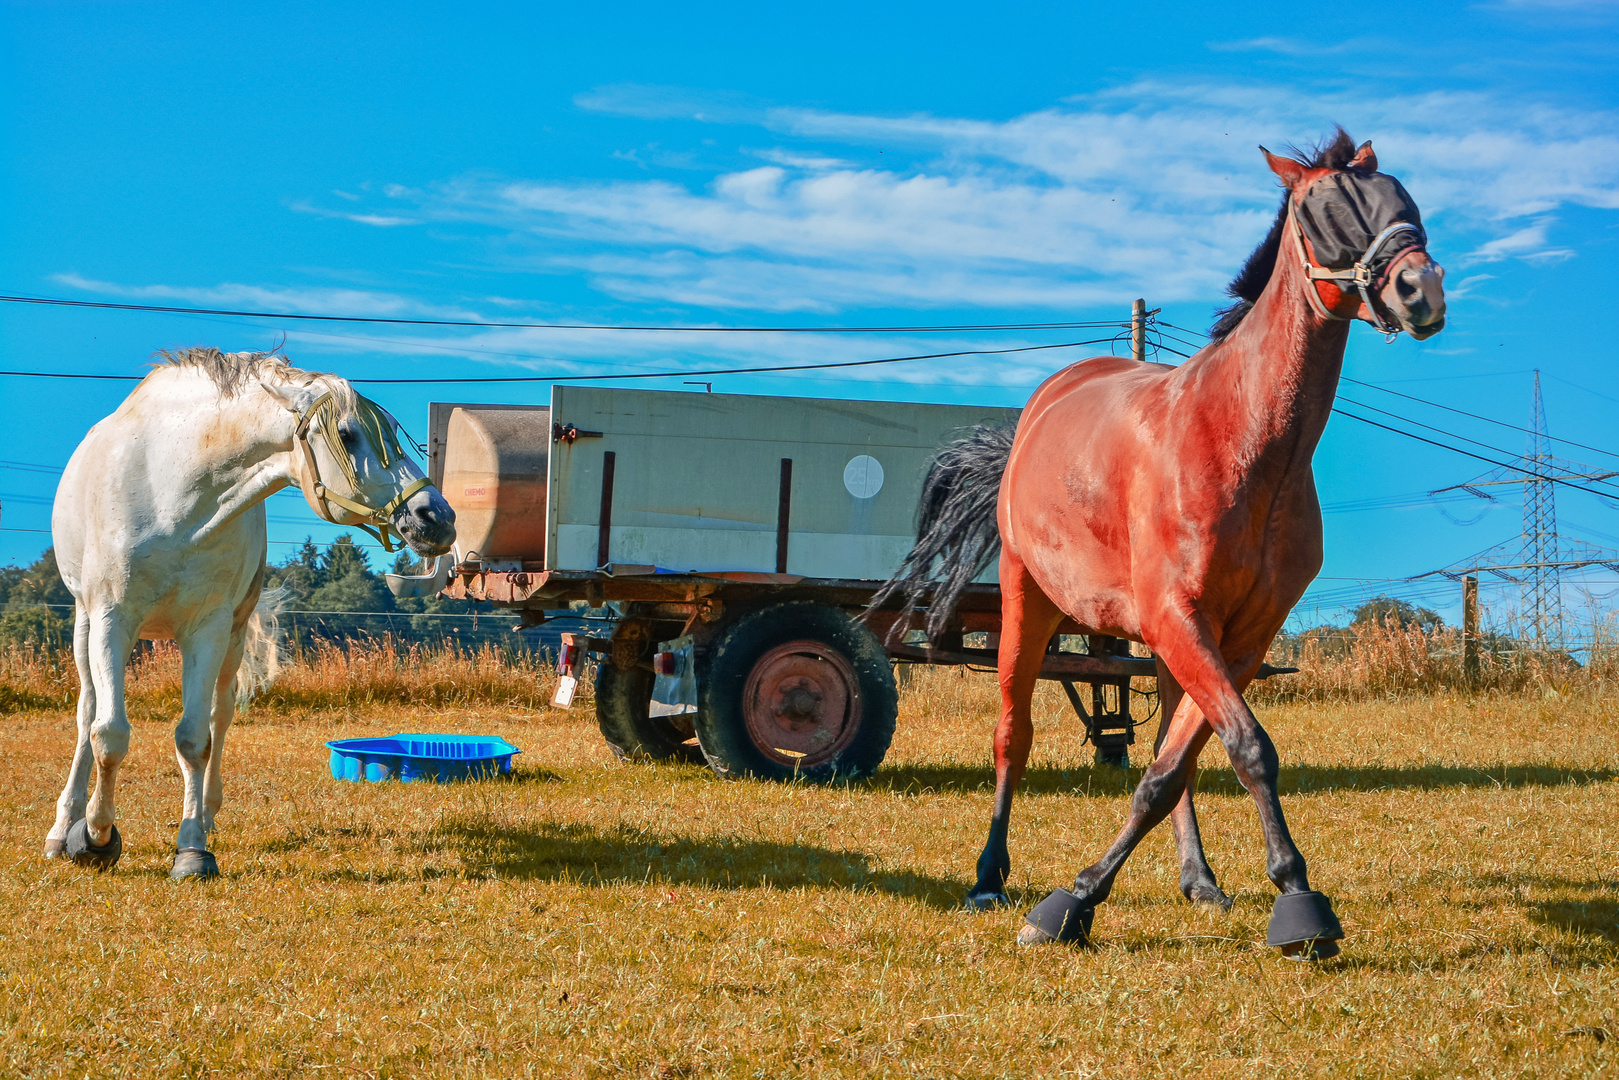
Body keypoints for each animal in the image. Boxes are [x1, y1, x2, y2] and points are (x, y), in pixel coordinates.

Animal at [47, 351, 453, 880]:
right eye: (347, 435)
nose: (437, 518)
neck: (172, 491)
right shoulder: (112, 619)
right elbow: (108, 733)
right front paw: (94, 836)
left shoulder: (209, 628)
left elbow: (194, 739)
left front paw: (191, 849)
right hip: (85, 625)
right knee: (87, 713)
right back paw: (62, 828)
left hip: (232, 638)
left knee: (219, 717)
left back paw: (205, 812)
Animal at [880, 131, 1450, 958]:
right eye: (1320, 207)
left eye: (1401, 197)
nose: (1419, 289)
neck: (1240, 439)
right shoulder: (1177, 618)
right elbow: (1247, 748)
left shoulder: (1237, 636)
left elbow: (1178, 763)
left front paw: (1097, 893)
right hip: (1028, 603)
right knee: (1011, 736)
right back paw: (987, 878)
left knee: (1164, 749)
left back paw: (1198, 879)